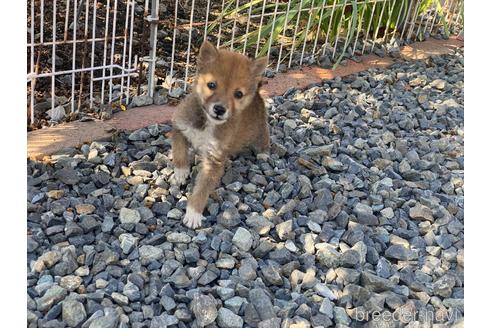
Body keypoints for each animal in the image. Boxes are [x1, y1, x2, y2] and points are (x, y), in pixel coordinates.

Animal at [169, 40, 270, 228]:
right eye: (211, 85)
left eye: (238, 94)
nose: (219, 109)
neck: (207, 124)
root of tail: (258, 94)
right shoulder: (180, 128)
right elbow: (179, 152)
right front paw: (181, 172)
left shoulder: (213, 160)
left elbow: (202, 189)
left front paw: (193, 213)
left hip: (259, 129)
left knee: (264, 138)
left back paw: (263, 154)